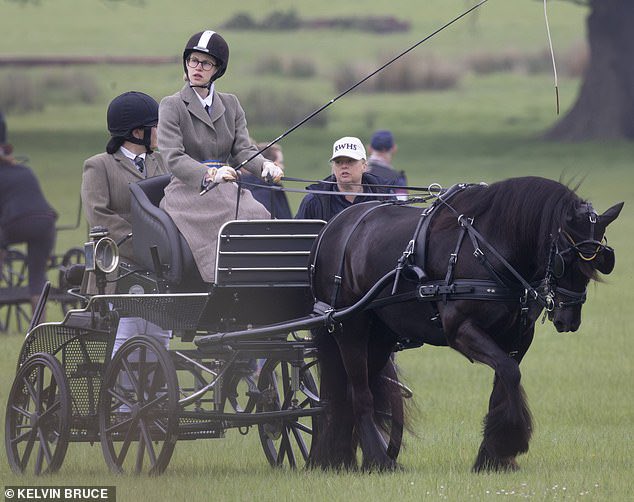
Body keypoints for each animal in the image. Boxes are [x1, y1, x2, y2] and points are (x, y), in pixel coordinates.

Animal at [308, 176, 620, 470]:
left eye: (602, 260)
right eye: (565, 258)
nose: (568, 319)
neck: (489, 247)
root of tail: (331, 228)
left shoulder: (518, 337)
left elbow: (503, 383)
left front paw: (493, 457)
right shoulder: (460, 330)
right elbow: (510, 372)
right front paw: (509, 443)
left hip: (381, 335)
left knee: (354, 391)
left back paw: (343, 458)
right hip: (351, 327)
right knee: (360, 395)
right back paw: (378, 460)